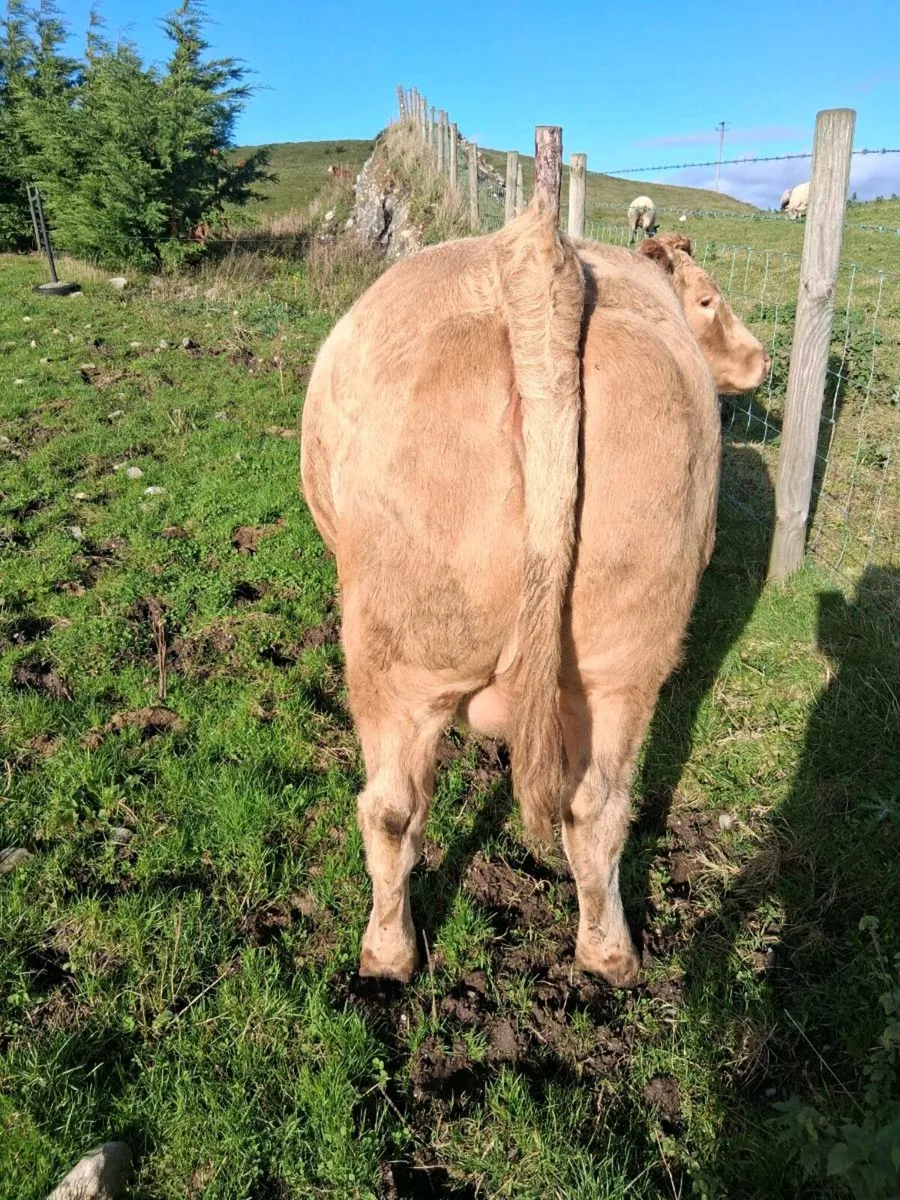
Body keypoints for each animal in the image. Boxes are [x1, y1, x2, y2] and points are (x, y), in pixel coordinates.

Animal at [300, 202, 769, 986]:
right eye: (708, 300)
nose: (761, 359)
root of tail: (539, 258)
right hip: (622, 654)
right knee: (599, 807)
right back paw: (610, 956)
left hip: (397, 650)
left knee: (391, 809)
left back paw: (388, 956)